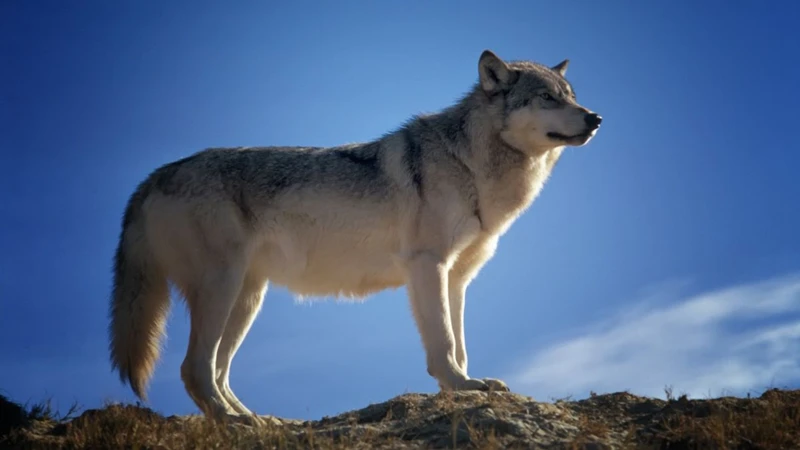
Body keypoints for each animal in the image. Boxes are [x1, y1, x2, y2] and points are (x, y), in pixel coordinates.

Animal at [109, 50, 604, 426]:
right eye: (546, 98)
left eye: (571, 97)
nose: (596, 118)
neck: (470, 164)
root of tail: (153, 177)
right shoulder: (428, 266)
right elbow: (444, 342)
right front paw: (460, 386)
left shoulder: (457, 278)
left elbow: (460, 343)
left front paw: (465, 386)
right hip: (222, 289)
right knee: (194, 368)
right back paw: (232, 422)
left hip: (248, 299)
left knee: (218, 371)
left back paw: (256, 420)